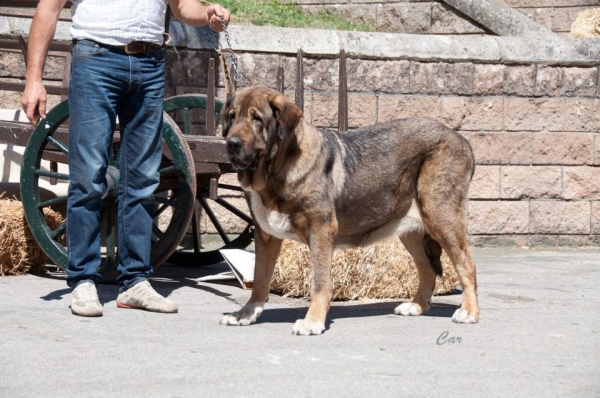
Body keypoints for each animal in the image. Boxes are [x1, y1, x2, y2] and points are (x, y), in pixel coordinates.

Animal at [219, 85, 478, 334]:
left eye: (257, 119)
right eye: (232, 117)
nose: (232, 143)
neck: (276, 171)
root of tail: (462, 140)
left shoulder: (320, 230)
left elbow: (320, 282)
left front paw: (313, 321)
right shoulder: (266, 237)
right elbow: (260, 278)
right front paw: (246, 314)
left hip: (441, 218)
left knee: (466, 265)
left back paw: (469, 312)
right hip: (412, 232)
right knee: (427, 269)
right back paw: (417, 306)